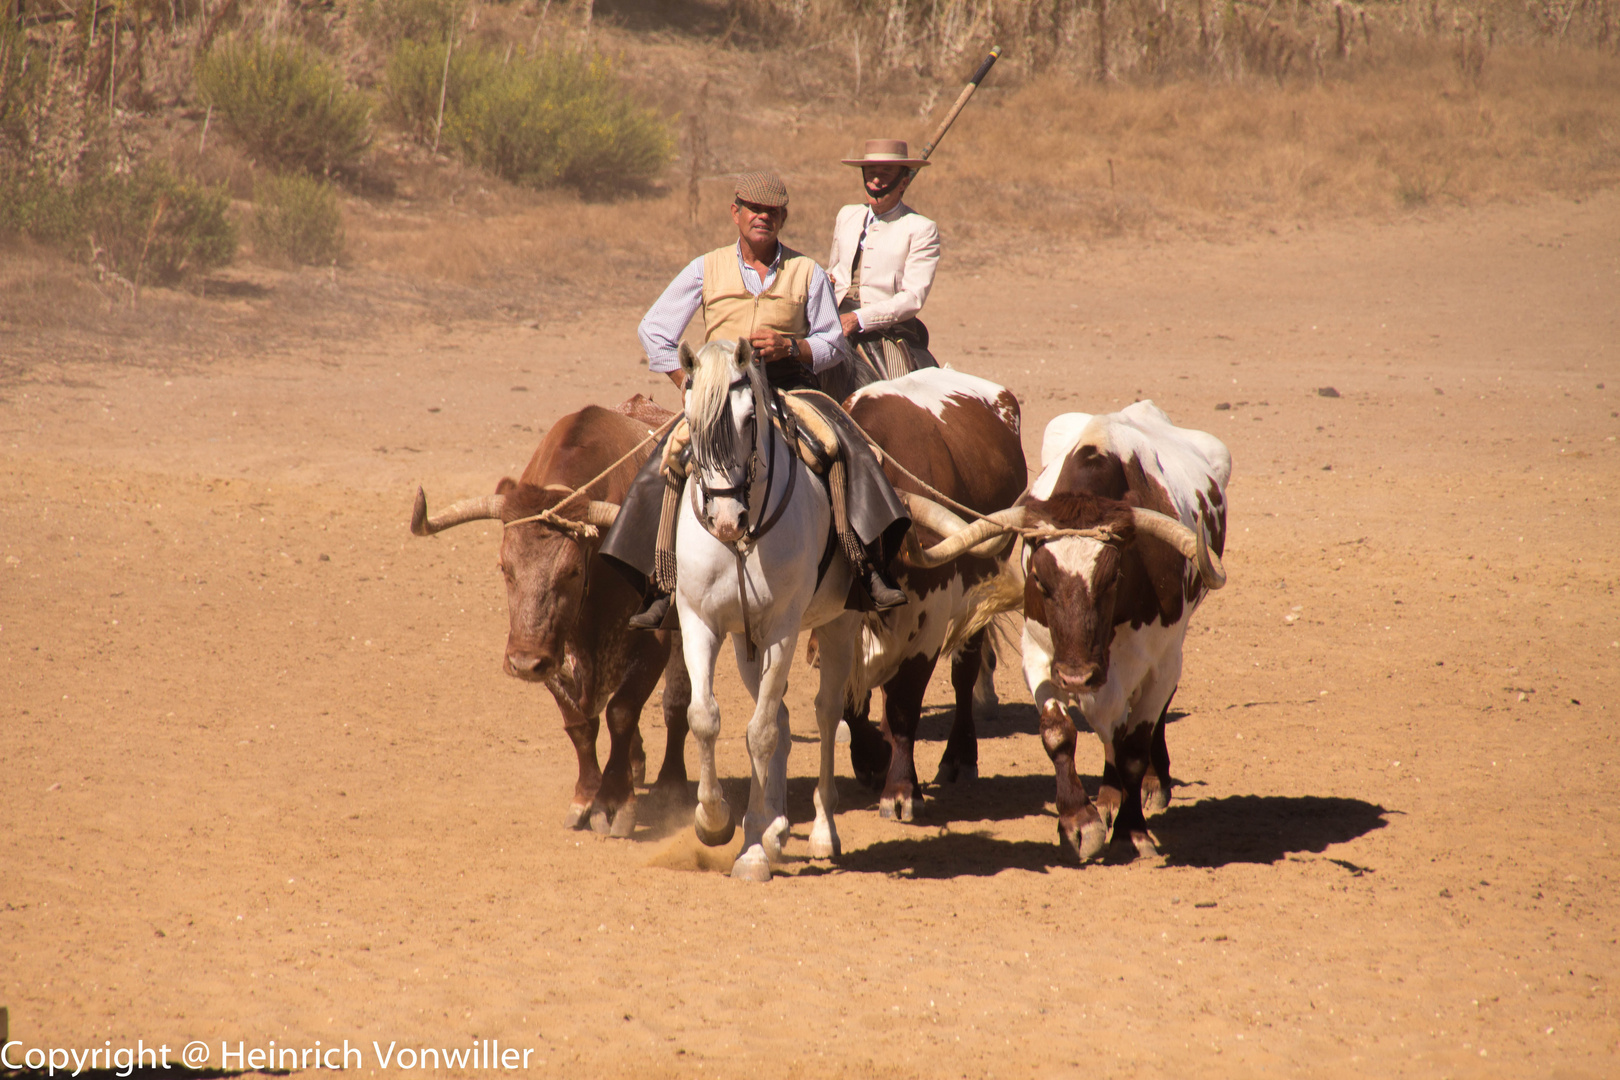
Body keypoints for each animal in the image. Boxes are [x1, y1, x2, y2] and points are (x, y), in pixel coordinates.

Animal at [670, 341, 861, 880]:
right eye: (690, 420)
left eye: (750, 417)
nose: (726, 519)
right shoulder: (700, 623)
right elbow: (705, 717)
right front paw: (714, 821)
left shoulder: (782, 629)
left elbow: (759, 733)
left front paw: (752, 848)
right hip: (744, 644)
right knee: (782, 715)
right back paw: (777, 827)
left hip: (838, 627)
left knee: (824, 715)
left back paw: (821, 832)